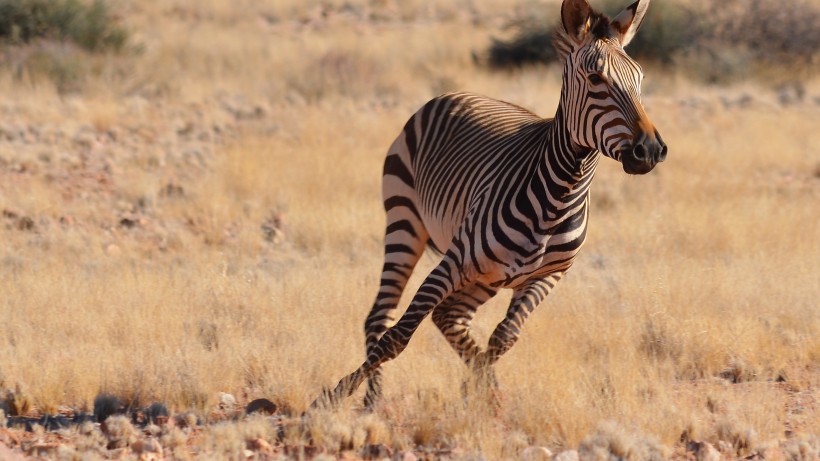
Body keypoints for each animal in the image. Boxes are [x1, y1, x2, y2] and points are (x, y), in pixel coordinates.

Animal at [314, 0, 668, 408]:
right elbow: (398, 337)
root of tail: (457, 94)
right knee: (381, 317)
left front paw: (483, 393)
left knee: (449, 316)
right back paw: (372, 400)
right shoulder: (455, 261)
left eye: (640, 80)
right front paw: (328, 400)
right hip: (405, 222)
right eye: (596, 79)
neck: (561, 194)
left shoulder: (547, 277)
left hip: (488, 276)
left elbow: (504, 337)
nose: (651, 150)